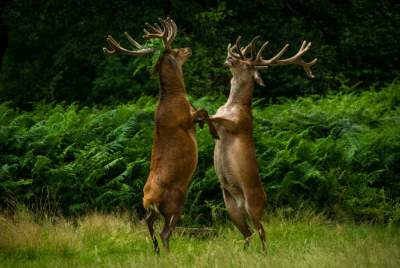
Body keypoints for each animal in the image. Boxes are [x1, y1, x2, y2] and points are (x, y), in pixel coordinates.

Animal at [103, 17, 216, 252]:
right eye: (175, 50)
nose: (188, 49)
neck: (175, 96)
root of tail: (148, 199)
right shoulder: (186, 118)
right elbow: (203, 111)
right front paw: (210, 128)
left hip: (153, 209)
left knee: (148, 222)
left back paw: (155, 250)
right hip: (175, 201)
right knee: (165, 232)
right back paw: (167, 252)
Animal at [211, 35, 318, 249]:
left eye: (246, 63)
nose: (228, 58)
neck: (232, 105)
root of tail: (265, 199)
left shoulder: (239, 123)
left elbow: (217, 118)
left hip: (254, 204)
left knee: (262, 233)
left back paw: (263, 252)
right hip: (232, 207)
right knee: (248, 233)